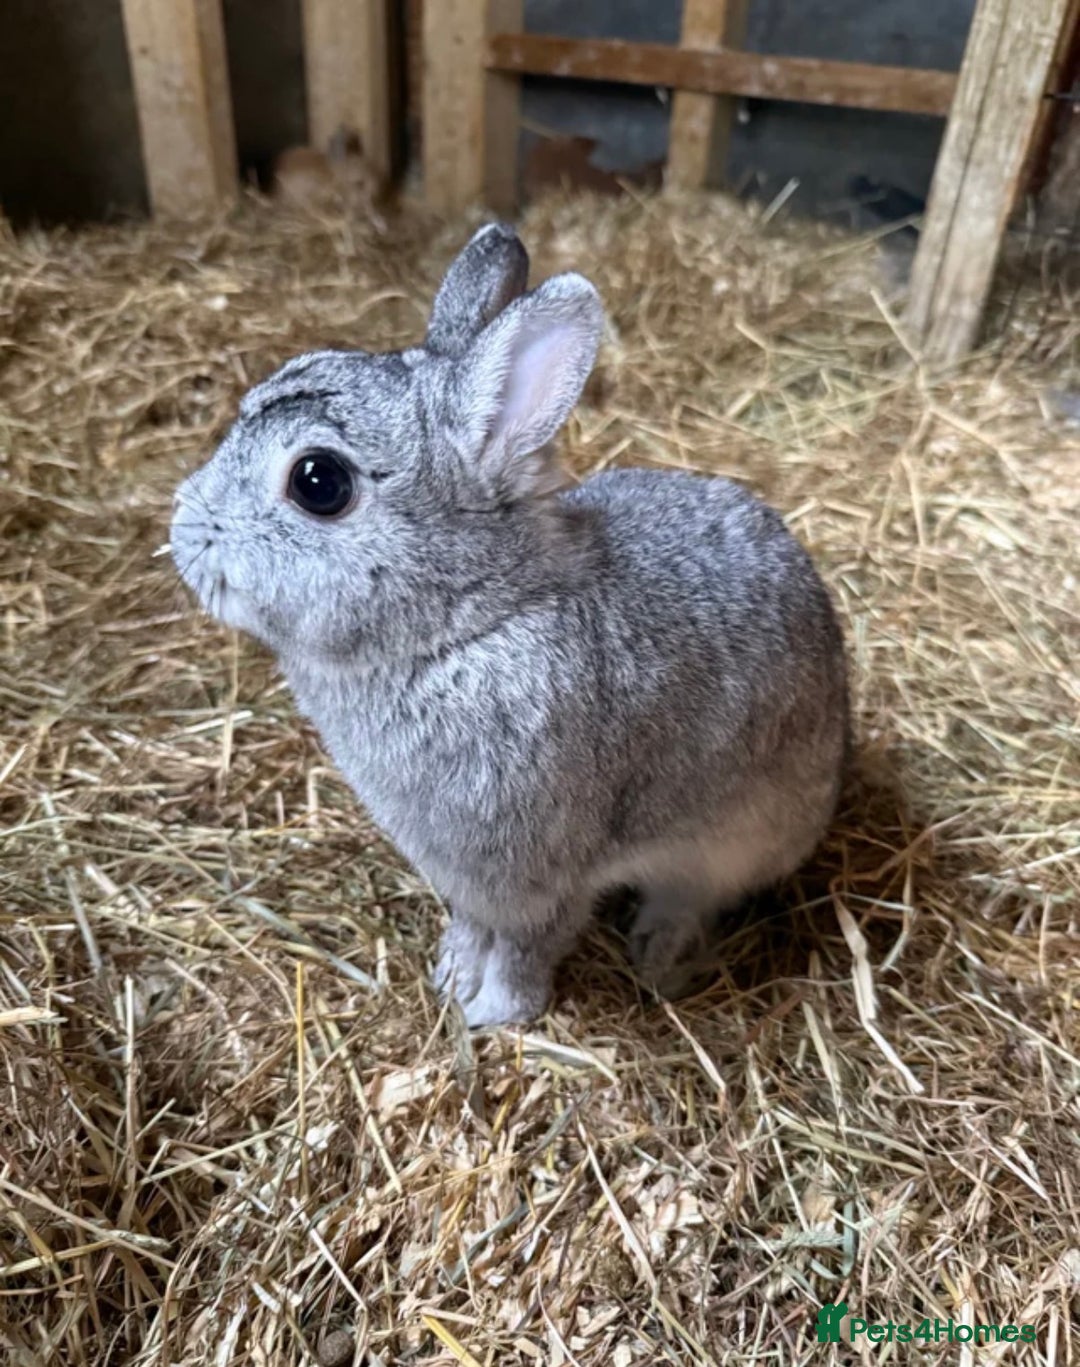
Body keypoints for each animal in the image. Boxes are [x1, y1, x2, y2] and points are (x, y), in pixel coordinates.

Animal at [170, 222, 849, 1028]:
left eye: (317, 482)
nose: (183, 534)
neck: (467, 624)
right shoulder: (466, 875)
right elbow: (472, 924)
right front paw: (452, 975)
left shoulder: (542, 872)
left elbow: (529, 946)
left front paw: (493, 1013)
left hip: (740, 838)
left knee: (698, 894)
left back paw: (659, 949)